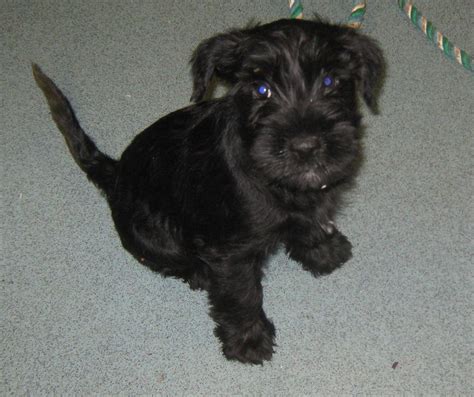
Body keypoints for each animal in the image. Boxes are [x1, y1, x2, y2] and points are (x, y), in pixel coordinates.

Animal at [33, 19, 384, 366]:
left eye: (329, 81)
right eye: (261, 89)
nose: (306, 147)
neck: (275, 183)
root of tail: (116, 172)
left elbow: (311, 224)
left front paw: (324, 252)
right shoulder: (230, 255)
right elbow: (242, 296)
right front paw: (248, 341)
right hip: (154, 236)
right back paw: (199, 273)